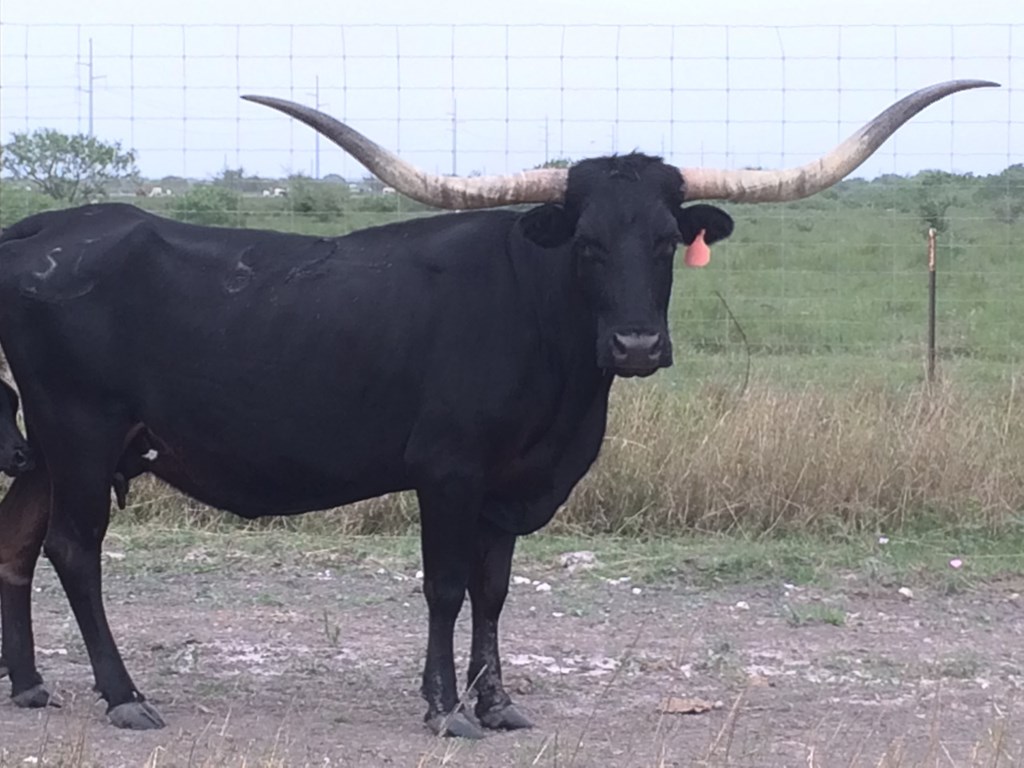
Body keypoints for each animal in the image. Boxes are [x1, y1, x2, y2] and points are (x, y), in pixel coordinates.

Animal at [0, 79, 997, 737]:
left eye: (665, 242)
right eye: (587, 244)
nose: (636, 347)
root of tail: (42, 228)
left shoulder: (515, 488)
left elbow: (493, 588)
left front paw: (500, 700)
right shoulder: (447, 472)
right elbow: (445, 585)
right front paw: (446, 710)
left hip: (49, 449)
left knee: (18, 545)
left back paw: (31, 686)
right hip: (81, 435)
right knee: (74, 553)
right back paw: (125, 696)